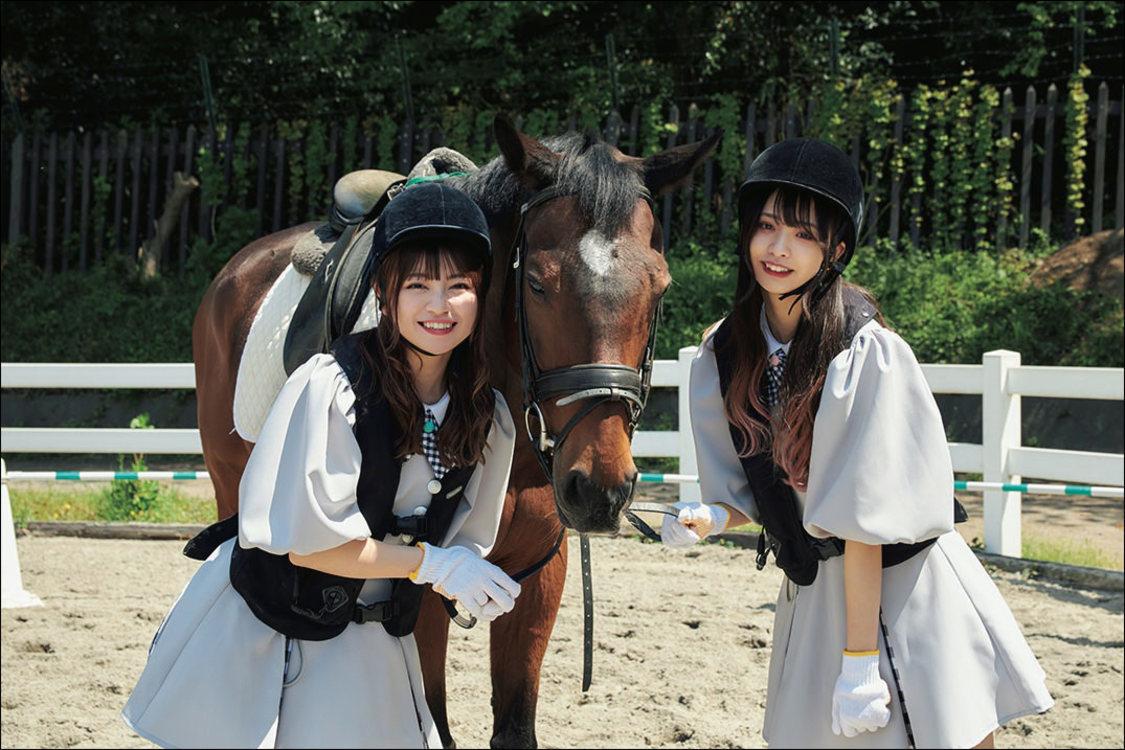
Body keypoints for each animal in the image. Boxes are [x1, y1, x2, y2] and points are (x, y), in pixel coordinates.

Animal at [191, 115, 719, 749]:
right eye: (536, 284)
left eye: (660, 286)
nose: (599, 490)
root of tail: (234, 270)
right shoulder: (413, 585)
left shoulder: (536, 576)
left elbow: (514, 728)